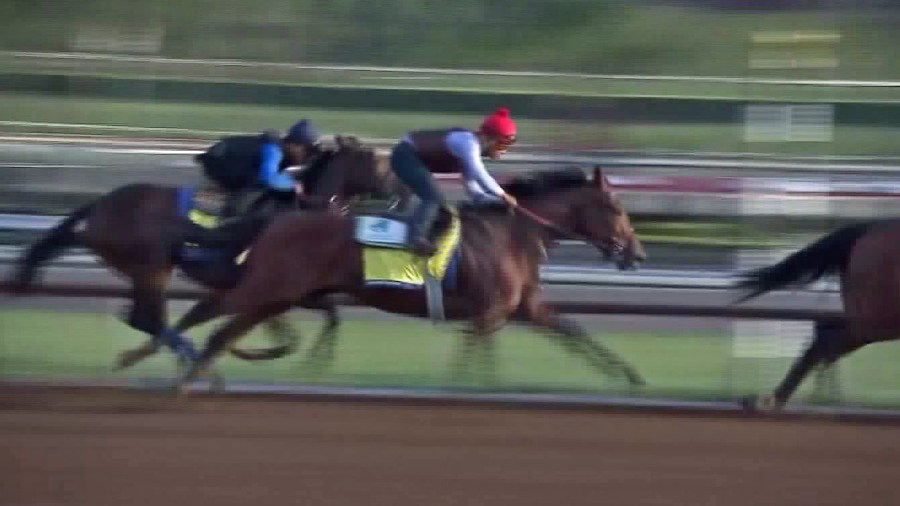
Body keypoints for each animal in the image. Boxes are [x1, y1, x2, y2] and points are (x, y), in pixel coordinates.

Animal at [8, 136, 400, 374]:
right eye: (373, 158)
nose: (395, 187)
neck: (305, 209)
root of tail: (101, 205)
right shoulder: (267, 284)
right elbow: (285, 332)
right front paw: (246, 352)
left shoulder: (296, 291)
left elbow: (321, 321)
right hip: (153, 265)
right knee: (147, 319)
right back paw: (183, 355)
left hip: (143, 268)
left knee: (143, 318)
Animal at [178, 168, 648, 394]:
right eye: (616, 208)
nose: (637, 254)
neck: (514, 234)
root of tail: (276, 220)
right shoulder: (488, 314)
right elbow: (473, 359)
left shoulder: (522, 309)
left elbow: (576, 332)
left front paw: (631, 377)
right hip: (269, 287)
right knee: (210, 318)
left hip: (280, 294)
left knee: (219, 321)